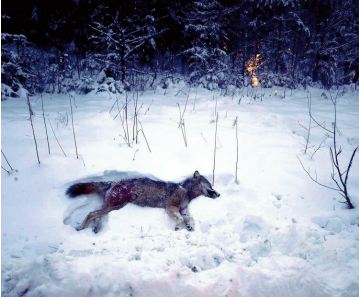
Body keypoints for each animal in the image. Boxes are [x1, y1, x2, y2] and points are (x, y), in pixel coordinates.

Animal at [66, 170, 221, 232]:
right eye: (210, 185)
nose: (219, 194)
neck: (185, 190)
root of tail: (113, 182)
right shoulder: (171, 207)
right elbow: (180, 219)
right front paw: (178, 226)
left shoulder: (183, 210)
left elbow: (190, 219)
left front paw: (190, 227)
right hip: (113, 206)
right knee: (91, 213)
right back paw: (81, 228)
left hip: (111, 207)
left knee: (96, 214)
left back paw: (96, 228)